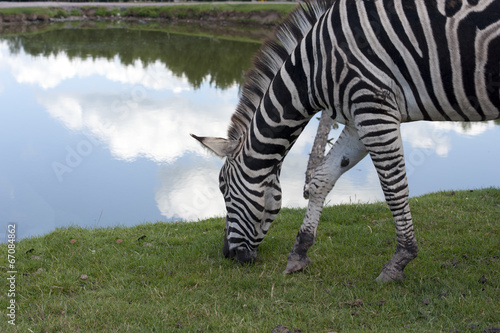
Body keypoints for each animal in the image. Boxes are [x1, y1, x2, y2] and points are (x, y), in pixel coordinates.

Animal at [191, 0, 500, 282]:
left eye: (223, 189)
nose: (227, 254)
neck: (312, 69)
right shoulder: (357, 118)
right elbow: (320, 179)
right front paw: (299, 253)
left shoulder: (373, 106)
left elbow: (393, 189)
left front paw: (400, 261)